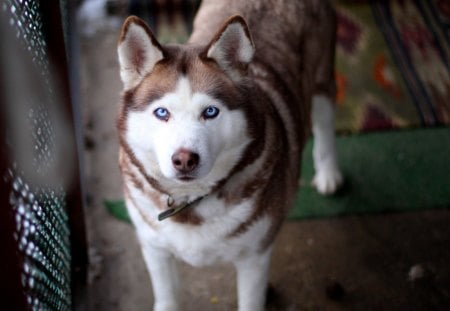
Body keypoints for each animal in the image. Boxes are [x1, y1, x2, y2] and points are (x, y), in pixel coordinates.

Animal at [116, 1, 342, 310]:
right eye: (162, 113)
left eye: (210, 111)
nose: (184, 159)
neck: (191, 204)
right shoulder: (154, 248)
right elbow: (167, 297)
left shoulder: (254, 256)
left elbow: (250, 301)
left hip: (322, 78)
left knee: (324, 120)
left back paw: (329, 172)